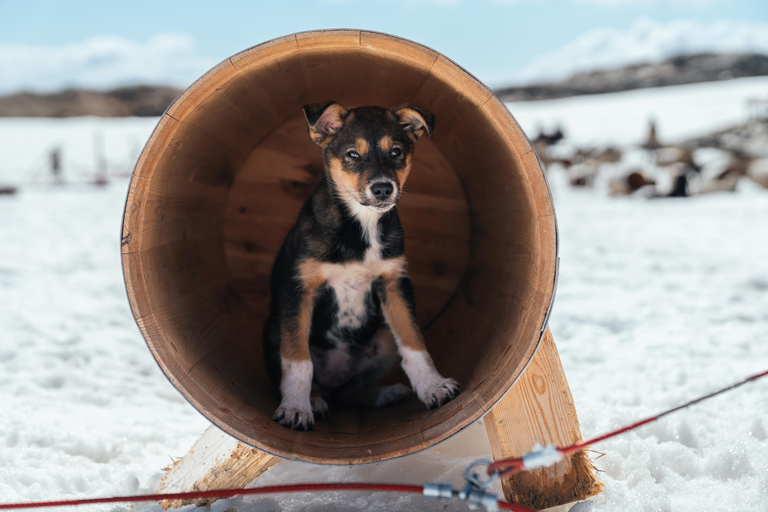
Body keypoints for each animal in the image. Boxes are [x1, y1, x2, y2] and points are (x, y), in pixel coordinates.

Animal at [260, 102, 460, 430]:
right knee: (319, 380)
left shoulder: (394, 282)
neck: (362, 225)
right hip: (274, 330)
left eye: (396, 152)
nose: (383, 189)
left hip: (382, 340)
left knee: (349, 390)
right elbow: (298, 360)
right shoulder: (299, 289)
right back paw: (315, 400)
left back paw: (384, 394)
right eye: (353, 154)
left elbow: (414, 342)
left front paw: (434, 386)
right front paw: (296, 408)